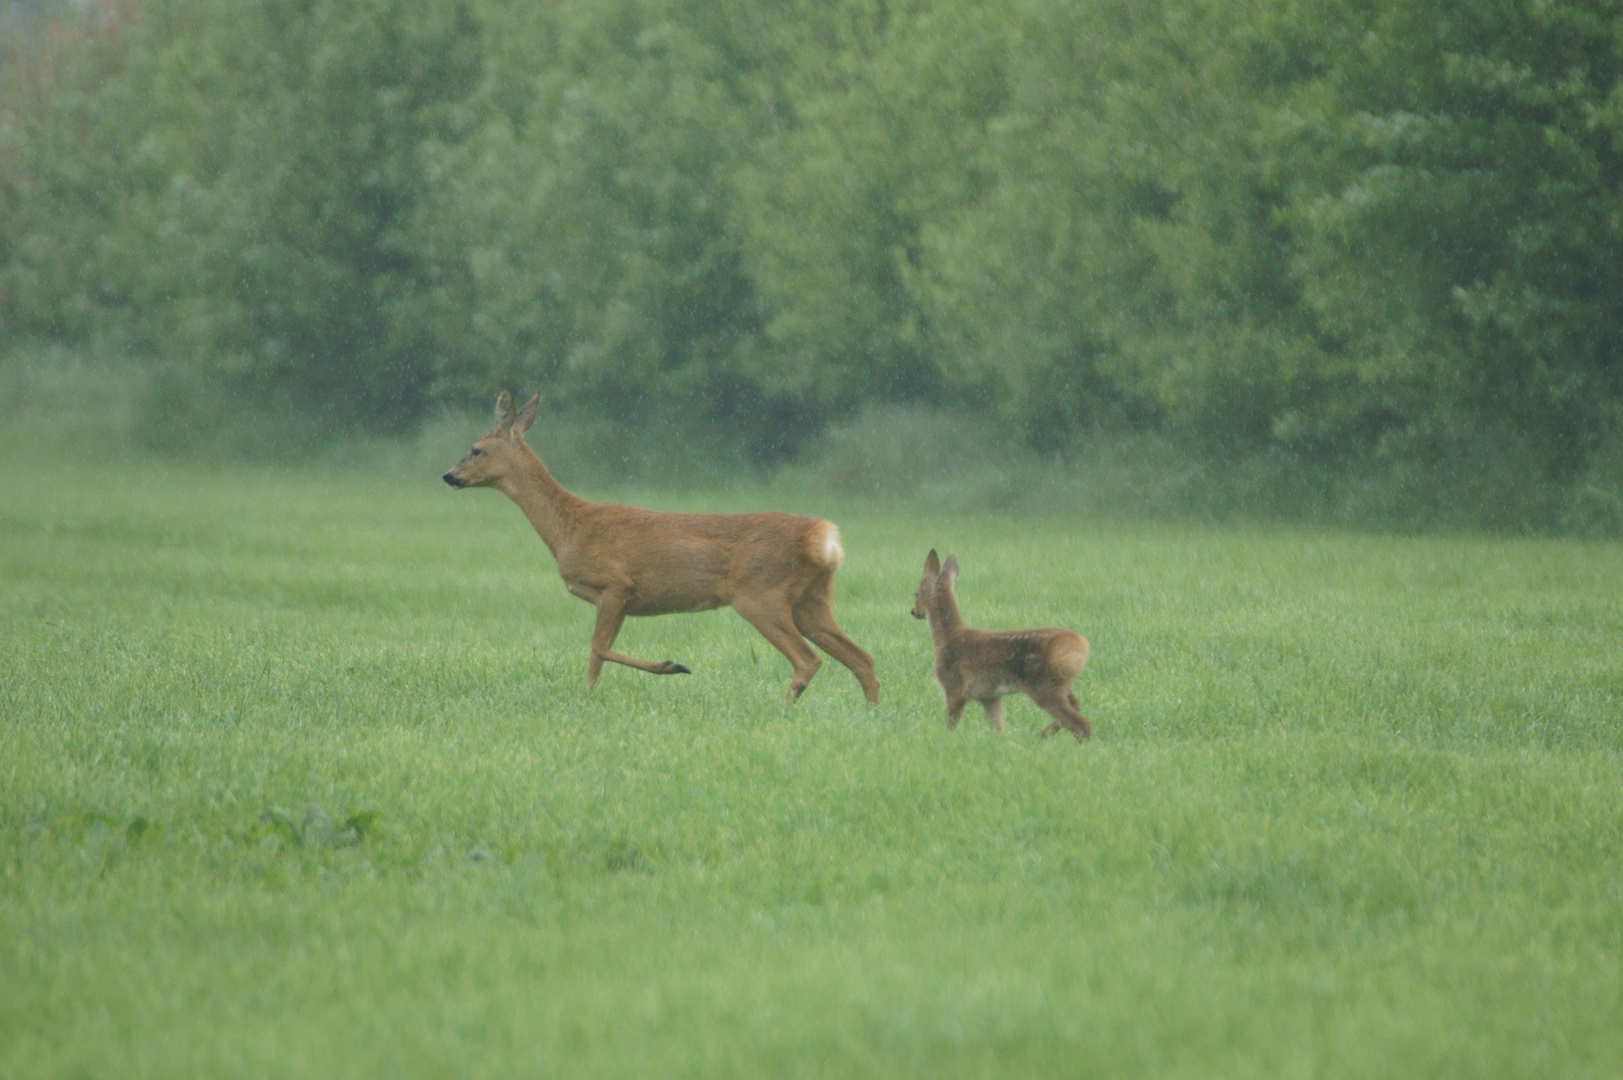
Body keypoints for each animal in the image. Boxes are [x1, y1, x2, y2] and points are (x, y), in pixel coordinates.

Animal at [438, 391, 882, 704]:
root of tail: (825, 537)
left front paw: (670, 667)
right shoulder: (620, 597)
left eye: (476, 449)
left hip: (759, 593)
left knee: (809, 659)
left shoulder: (614, 584)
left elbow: (597, 650)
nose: (448, 475)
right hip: (811, 598)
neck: (568, 529)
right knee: (863, 658)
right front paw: (592, 697)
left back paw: (784, 707)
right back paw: (871, 714)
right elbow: (597, 655)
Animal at [908, 552, 1097, 737]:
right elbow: (997, 727)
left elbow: (951, 725)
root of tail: (1082, 646)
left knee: (1081, 723)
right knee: (1075, 707)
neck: (946, 639)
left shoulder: (954, 684)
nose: (913, 611)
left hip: (1042, 683)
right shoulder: (989, 697)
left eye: (916, 594)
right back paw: (1040, 737)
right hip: (1061, 683)